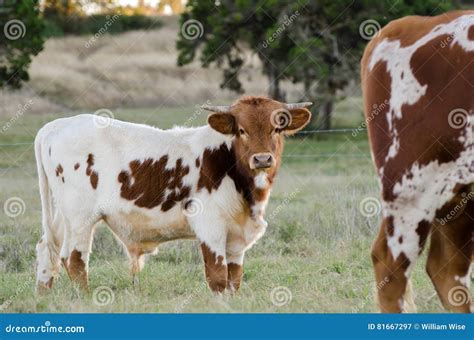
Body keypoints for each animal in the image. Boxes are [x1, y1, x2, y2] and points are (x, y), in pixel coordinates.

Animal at [35, 97, 312, 294]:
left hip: (62, 216)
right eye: (241, 130)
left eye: (277, 129)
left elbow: (234, 280)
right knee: (74, 259)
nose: (262, 159)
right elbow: (218, 278)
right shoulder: (210, 226)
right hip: (80, 218)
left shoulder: (236, 235)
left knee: (47, 250)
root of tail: (56, 125)